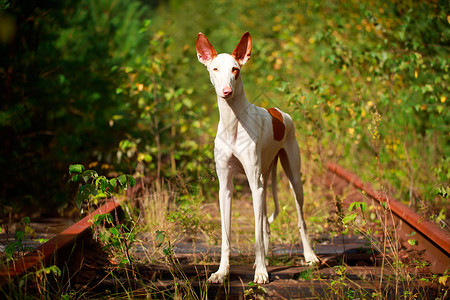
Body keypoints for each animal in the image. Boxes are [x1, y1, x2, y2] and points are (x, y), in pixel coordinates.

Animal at [197, 32, 320, 284]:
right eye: (215, 68)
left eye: (235, 69)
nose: (226, 91)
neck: (233, 122)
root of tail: (277, 111)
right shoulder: (225, 187)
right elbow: (227, 236)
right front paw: (222, 272)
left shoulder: (255, 185)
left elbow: (256, 235)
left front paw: (261, 272)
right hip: (264, 180)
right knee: (265, 226)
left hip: (292, 180)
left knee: (300, 220)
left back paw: (309, 255)